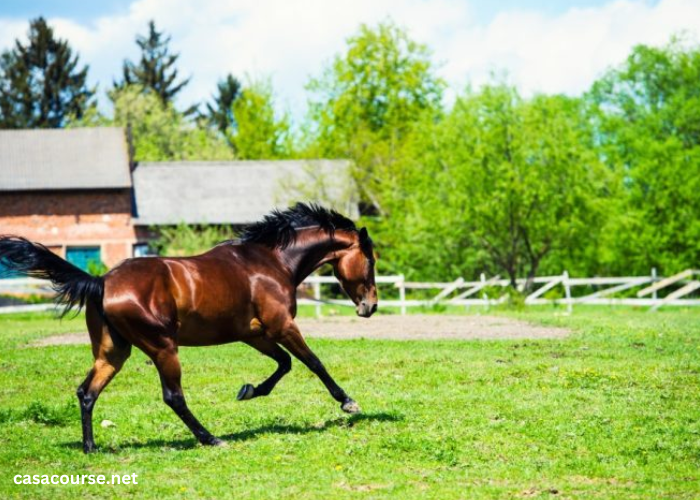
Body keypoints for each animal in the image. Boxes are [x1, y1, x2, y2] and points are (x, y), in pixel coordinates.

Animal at [0, 203, 378, 454]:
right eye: (371, 260)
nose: (370, 307)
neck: (272, 262)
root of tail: (101, 281)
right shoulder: (282, 326)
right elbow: (313, 362)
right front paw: (349, 403)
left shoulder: (254, 333)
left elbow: (283, 364)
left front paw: (248, 390)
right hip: (163, 348)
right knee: (173, 397)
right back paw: (210, 438)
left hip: (113, 353)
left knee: (87, 392)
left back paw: (91, 448)